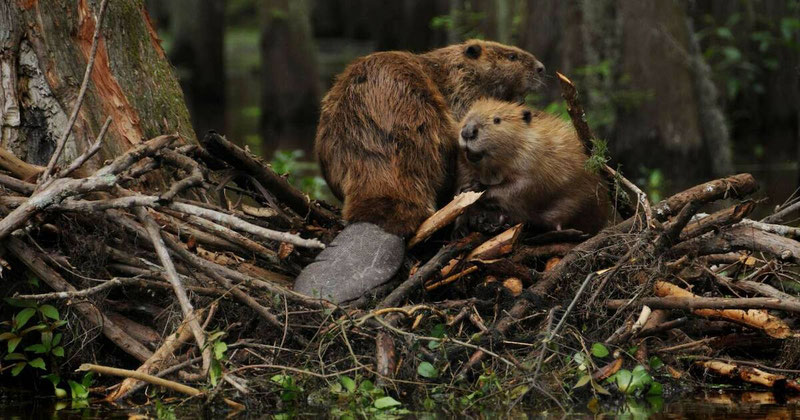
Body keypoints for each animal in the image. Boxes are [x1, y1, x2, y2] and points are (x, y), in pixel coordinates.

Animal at [456, 99, 608, 236]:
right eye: (467, 115)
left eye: (497, 120)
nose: (468, 132)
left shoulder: (534, 160)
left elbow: (523, 186)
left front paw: (477, 188)